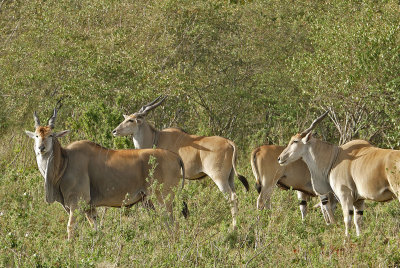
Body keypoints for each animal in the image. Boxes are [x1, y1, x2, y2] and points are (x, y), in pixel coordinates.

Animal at [25, 103, 185, 240]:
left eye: (51, 135)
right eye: (37, 135)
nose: (41, 148)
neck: (65, 161)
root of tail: (176, 157)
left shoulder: (77, 203)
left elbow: (71, 228)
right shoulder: (89, 208)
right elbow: (96, 229)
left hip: (163, 199)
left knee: (174, 223)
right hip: (149, 200)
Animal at [112, 95, 248, 227]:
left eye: (131, 120)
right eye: (126, 118)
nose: (114, 131)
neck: (156, 137)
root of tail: (230, 143)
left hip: (219, 177)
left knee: (232, 197)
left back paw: (233, 227)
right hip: (230, 177)